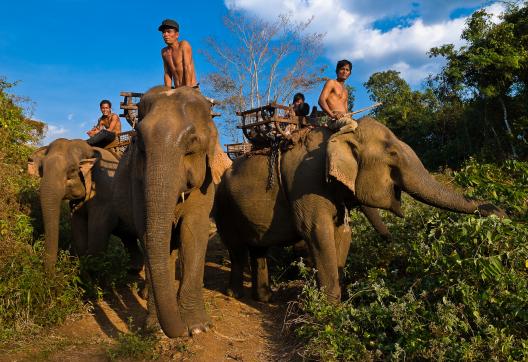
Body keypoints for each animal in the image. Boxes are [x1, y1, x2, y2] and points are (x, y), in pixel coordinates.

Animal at [27, 140, 142, 272]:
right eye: (41, 169)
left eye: (72, 170)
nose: (51, 273)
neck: (89, 149)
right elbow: (79, 235)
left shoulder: (105, 196)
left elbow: (96, 244)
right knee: (129, 239)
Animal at [112, 86, 230, 338]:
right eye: (138, 141)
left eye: (192, 142)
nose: (181, 331)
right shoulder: (137, 181)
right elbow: (148, 235)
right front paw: (154, 326)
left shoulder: (206, 183)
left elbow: (193, 232)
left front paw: (198, 327)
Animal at [214, 116, 504, 302]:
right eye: (393, 155)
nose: (500, 212)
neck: (338, 136)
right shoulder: (304, 182)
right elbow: (317, 233)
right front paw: (328, 311)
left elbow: (342, 233)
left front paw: (339, 302)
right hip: (223, 206)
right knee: (237, 250)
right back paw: (235, 294)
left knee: (258, 249)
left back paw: (264, 298)